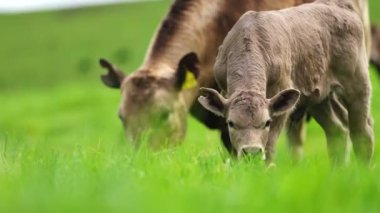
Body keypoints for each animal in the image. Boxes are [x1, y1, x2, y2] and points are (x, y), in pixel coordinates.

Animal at [199, 0, 374, 165]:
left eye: (266, 122)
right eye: (231, 123)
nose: (252, 152)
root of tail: (339, 5)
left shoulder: (280, 94)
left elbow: (269, 145)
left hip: (357, 82)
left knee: (362, 133)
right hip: (318, 95)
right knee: (337, 130)